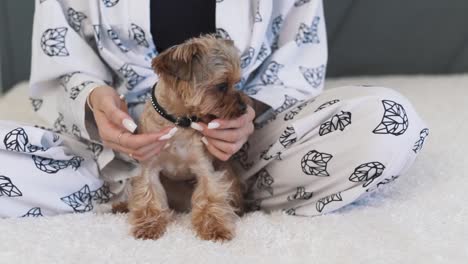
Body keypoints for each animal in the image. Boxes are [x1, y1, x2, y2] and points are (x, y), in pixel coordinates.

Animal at [124, 36, 250, 242]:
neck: (179, 122)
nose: (244, 108)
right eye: (222, 86)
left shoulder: (204, 168)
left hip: (228, 174)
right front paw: (149, 226)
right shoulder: (149, 167)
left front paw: (215, 229)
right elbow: (149, 196)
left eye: (236, 83)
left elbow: (209, 197)